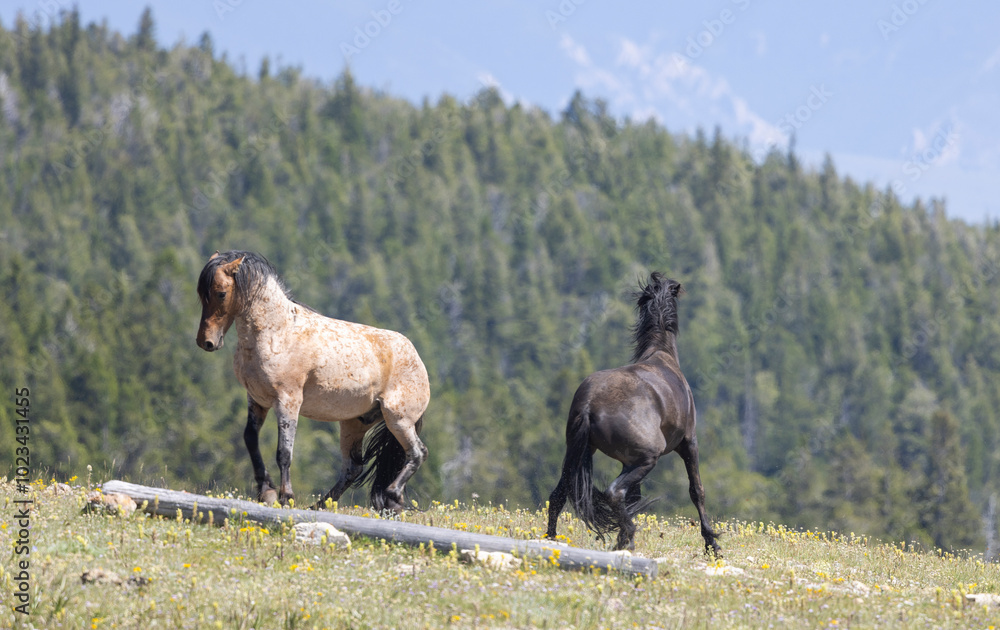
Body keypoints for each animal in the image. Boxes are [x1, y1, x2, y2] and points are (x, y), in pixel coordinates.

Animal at [195, 250, 430, 512]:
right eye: (200, 293)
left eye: (221, 293)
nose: (206, 342)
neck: (276, 334)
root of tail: (416, 358)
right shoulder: (257, 400)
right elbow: (250, 440)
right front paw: (266, 491)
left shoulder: (287, 401)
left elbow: (284, 452)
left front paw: (285, 497)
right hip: (354, 424)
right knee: (352, 468)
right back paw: (320, 505)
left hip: (399, 420)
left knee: (417, 453)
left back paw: (392, 495)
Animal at [545, 272, 721, 555]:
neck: (662, 355)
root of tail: (589, 405)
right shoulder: (689, 442)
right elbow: (697, 490)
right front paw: (712, 542)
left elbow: (634, 498)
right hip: (645, 459)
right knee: (613, 493)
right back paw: (626, 536)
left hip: (578, 456)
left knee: (559, 494)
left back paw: (553, 538)